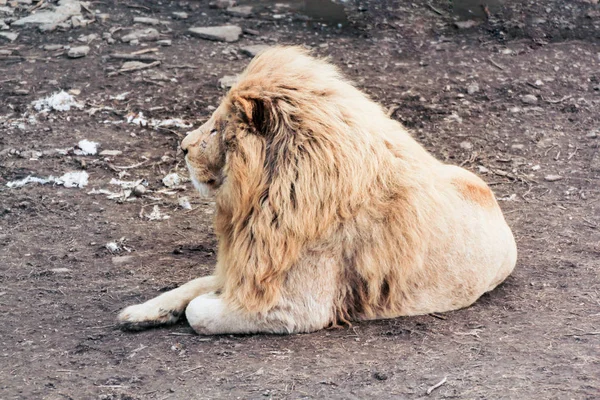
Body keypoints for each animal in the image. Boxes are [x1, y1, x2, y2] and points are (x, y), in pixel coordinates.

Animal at [117, 46, 516, 334]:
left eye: (216, 128)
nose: (182, 147)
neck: (265, 195)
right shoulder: (248, 262)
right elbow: (192, 285)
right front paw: (140, 312)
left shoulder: (299, 308)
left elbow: (200, 310)